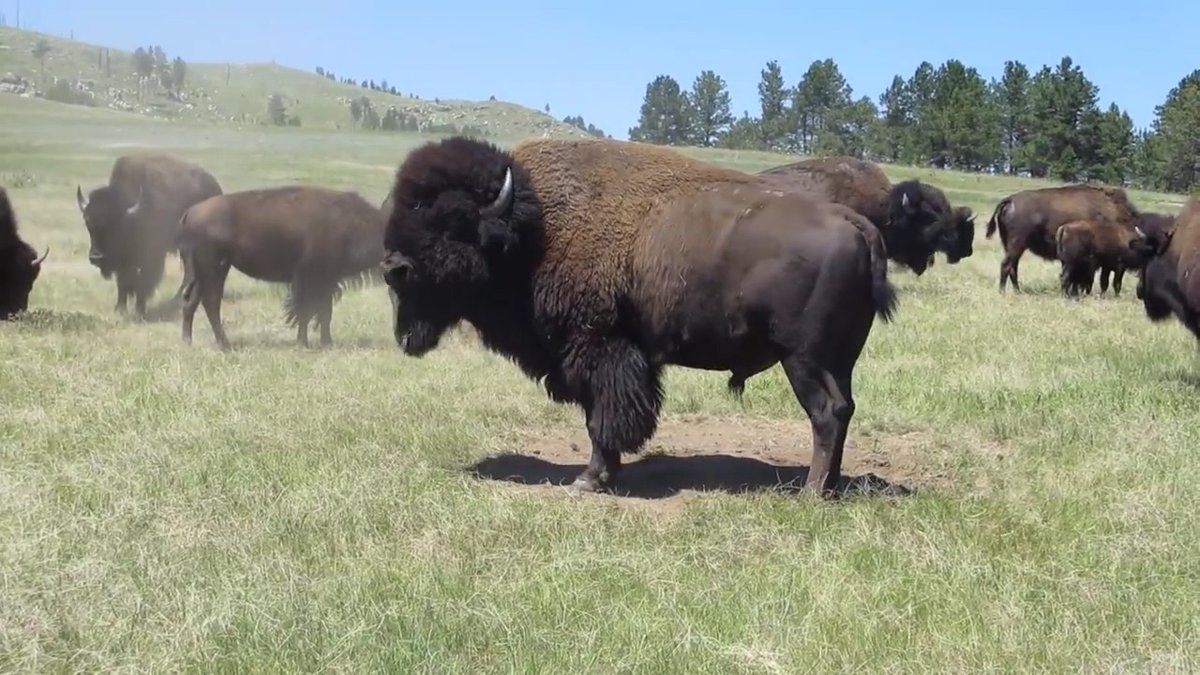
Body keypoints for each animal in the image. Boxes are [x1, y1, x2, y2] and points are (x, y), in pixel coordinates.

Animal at [76, 154, 223, 319]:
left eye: (116, 225)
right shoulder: (125, 261)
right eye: (88, 224)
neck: (133, 216)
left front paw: (140, 311)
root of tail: (217, 189)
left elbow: (143, 281)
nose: (96, 257)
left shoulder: (151, 257)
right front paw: (120, 309)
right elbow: (122, 282)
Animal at [178, 185, 387, 350]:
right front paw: (303, 344)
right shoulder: (308, 278)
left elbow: (324, 312)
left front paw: (327, 343)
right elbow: (305, 311)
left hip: (202, 274)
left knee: (191, 302)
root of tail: (190, 212)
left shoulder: (328, 280)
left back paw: (188, 341)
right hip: (216, 269)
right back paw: (225, 344)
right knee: (211, 303)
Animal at [381, 136, 900, 496]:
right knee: (845, 409)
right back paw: (830, 486)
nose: (393, 268)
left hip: (803, 359)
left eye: (452, 221)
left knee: (826, 414)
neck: (534, 232)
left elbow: (601, 419)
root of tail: (856, 223)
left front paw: (590, 479)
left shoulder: (598, 349)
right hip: (839, 360)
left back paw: (810, 491)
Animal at [985, 183, 1141, 293]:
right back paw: (1003, 292)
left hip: (1011, 246)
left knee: (1013, 267)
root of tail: (1010, 200)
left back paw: (1018, 292)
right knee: (1007, 265)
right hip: (1017, 244)